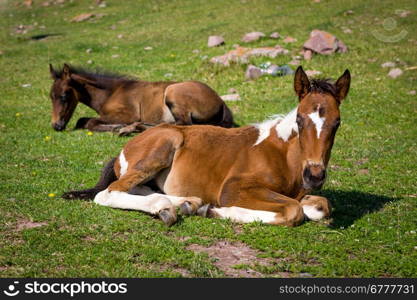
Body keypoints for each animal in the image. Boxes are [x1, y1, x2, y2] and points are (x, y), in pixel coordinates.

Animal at [64, 67, 352, 227]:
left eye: (337, 122)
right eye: (300, 119)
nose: (314, 176)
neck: (284, 155)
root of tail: (125, 148)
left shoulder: (301, 193)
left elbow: (322, 206)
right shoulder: (234, 188)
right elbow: (294, 211)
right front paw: (215, 211)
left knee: (138, 189)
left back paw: (185, 204)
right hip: (165, 145)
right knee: (109, 193)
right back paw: (169, 207)